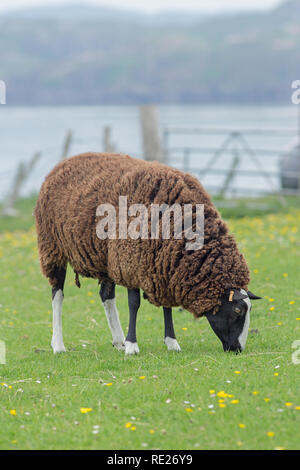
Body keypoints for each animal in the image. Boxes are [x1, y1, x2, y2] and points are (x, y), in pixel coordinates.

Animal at [34, 152, 260, 354]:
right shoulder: (130, 262)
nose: (237, 349)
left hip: (107, 258)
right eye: (238, 311)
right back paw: (58, 345)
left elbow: (167, 306)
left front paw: (171, 342)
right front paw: (132, 345)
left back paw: (118, 341)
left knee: (106, 295)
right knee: (57, 295)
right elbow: (134, 304)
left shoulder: (162, 266)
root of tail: (64, 163)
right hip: (53, 248)